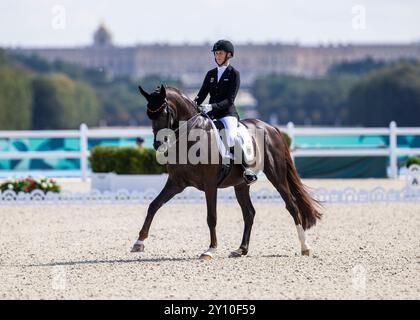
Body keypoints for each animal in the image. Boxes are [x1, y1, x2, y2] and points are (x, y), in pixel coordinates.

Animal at [131, 84, 322, 258]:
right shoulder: (176, 183)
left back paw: (305, 247)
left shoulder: (210, 184)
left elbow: (211, 217)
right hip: (241, 184)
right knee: (249, 213)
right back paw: (241, 249)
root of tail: (271, 128)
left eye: (164, 113)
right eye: (149, 115)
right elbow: (154, 205)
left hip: (277, 176)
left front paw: (210, 250)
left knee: (292, 206)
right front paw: (139, 242)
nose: (157, 145)